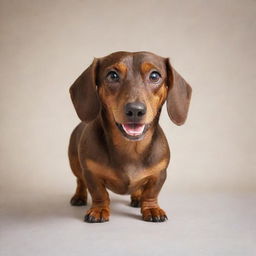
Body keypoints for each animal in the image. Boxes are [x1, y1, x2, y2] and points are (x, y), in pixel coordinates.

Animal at [68, 51, 192, 223]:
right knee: (80, 181)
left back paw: (137, 197)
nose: (135, 110)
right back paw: (79, 196)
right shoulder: (90, 173)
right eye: (112, 75)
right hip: (74, 163)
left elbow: (151, 193)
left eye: (154, 75)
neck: (130, 149)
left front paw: (151, 208)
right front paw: (99, 210)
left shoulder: (159, 173)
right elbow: (99, 193)